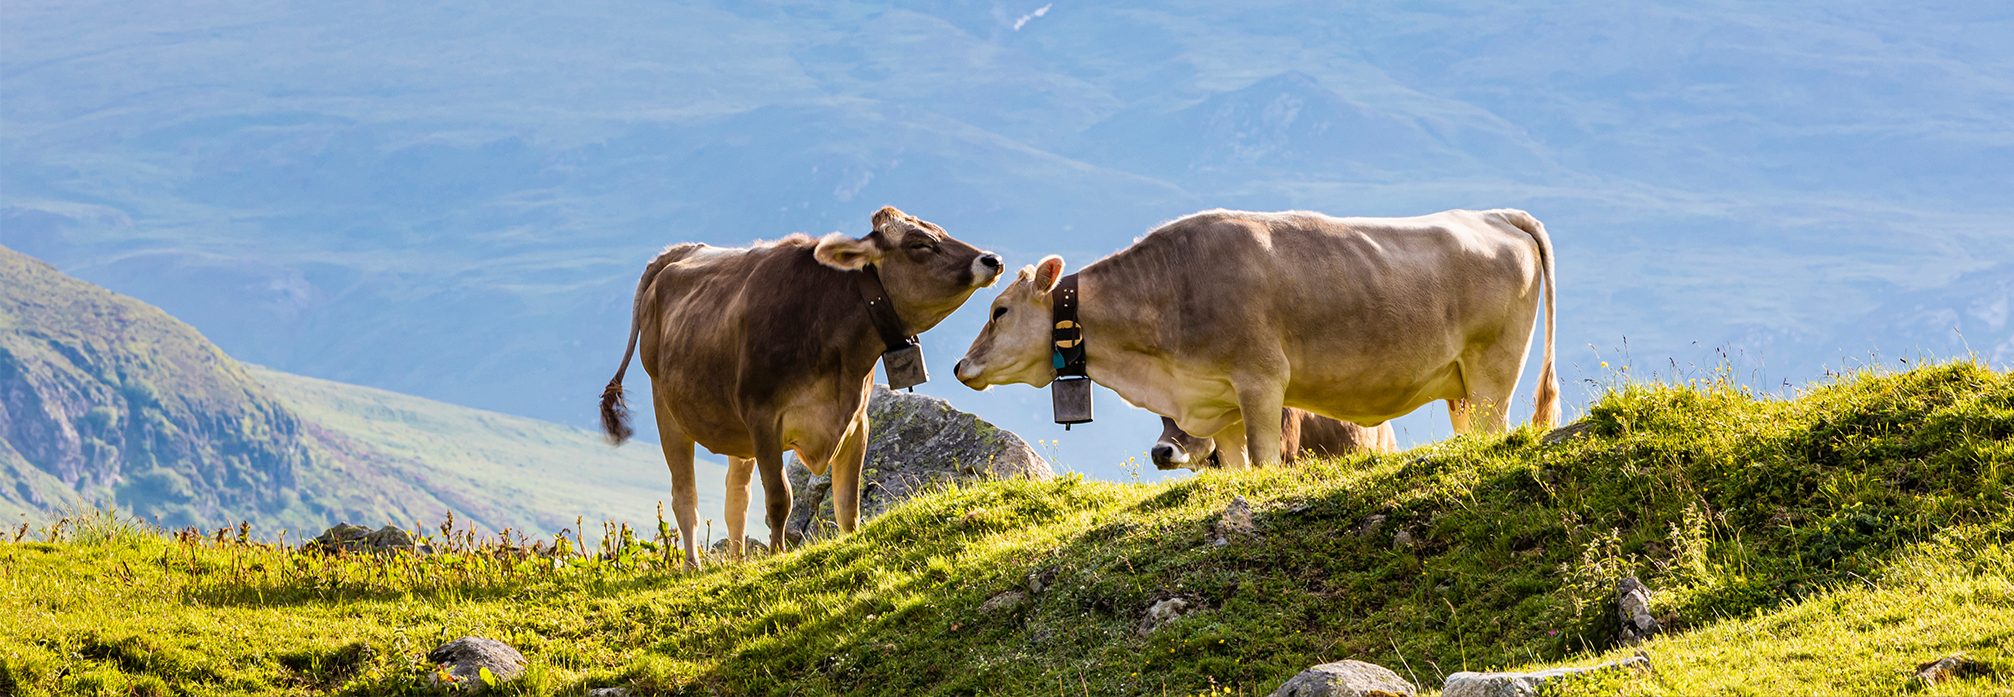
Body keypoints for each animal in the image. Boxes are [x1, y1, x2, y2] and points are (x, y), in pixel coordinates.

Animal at [599, 206, 1003, 568]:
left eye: (940, 229)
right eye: (919, 244)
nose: (992, 259)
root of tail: (684, 250)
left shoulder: (856, 421)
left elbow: (847, 503)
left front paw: (850, 542)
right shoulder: (763, 418)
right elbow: (780, 498)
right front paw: (777, 554)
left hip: (736, 431)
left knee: (736, 498)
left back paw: (737, 561)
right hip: (667, 408)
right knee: (685, 495)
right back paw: (693, 565)